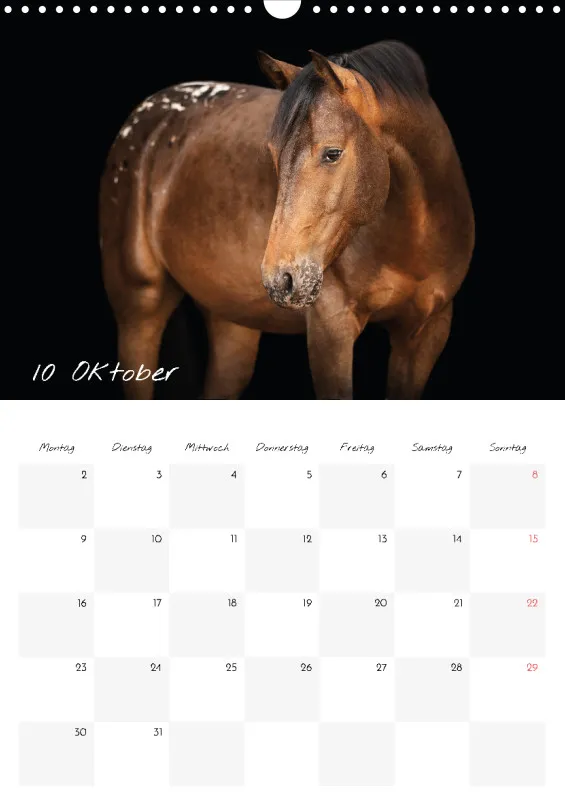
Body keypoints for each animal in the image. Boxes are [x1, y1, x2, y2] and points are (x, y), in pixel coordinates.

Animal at [99, 40, 474, 400]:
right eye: (273, 154)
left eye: (332, 153)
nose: (280, 280)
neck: (413, 241)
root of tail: (148, 116)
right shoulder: (331, 330)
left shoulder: (425, 334)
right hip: (139, 310)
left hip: (232, 322)